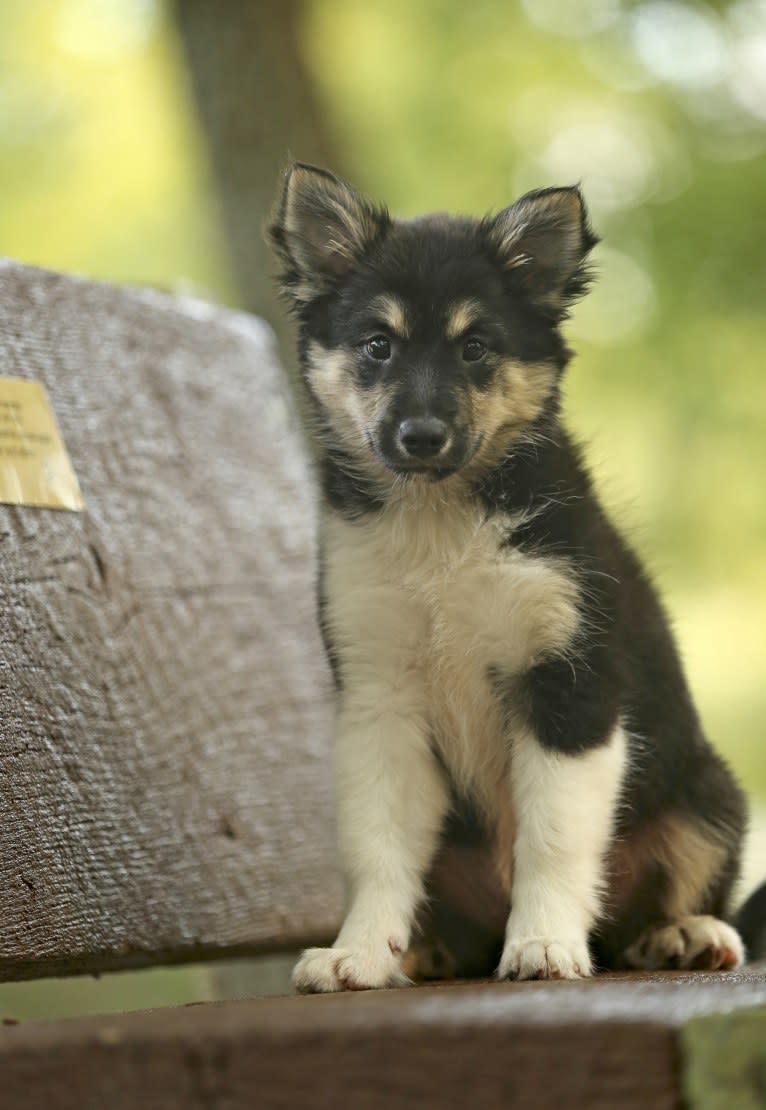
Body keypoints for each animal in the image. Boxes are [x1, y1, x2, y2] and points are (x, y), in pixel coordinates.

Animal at [267, 162, 746, 990]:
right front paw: (358, 953)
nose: (421, 436)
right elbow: (376, 848)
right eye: (377, 345)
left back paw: (682, 935)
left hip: (706, 795)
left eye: (477, 348)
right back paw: (424, 951)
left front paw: (546, 943)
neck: (441, 523)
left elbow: (552, 839)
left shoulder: (570, 682)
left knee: (655, 902)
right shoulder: (379, 697)